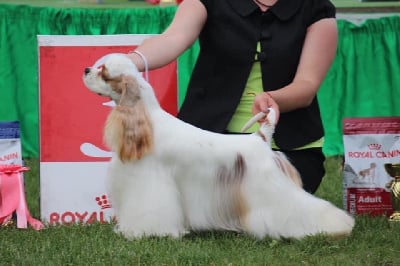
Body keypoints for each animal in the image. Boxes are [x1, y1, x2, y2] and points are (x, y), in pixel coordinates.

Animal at [81, 53, 354, 239]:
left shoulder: (149, 181)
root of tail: (261, 137)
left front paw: (141, 232)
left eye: (104, 72)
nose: (85, 69)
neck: (147, 120)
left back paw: (336, 226)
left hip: (270, 188)